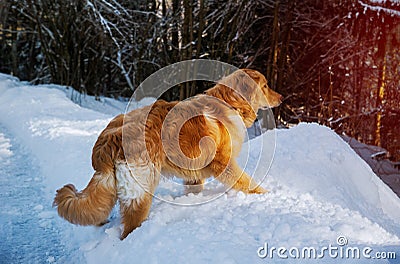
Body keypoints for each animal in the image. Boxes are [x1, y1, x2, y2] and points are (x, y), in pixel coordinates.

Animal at [54, 68, 284, 239]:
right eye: (265, 86)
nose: (281, 98)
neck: (231, 104)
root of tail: (110, 137)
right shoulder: (223, 164)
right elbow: (247, 182)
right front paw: (265, 195)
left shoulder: (194, 172)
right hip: (142, 189)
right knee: (129, 227)